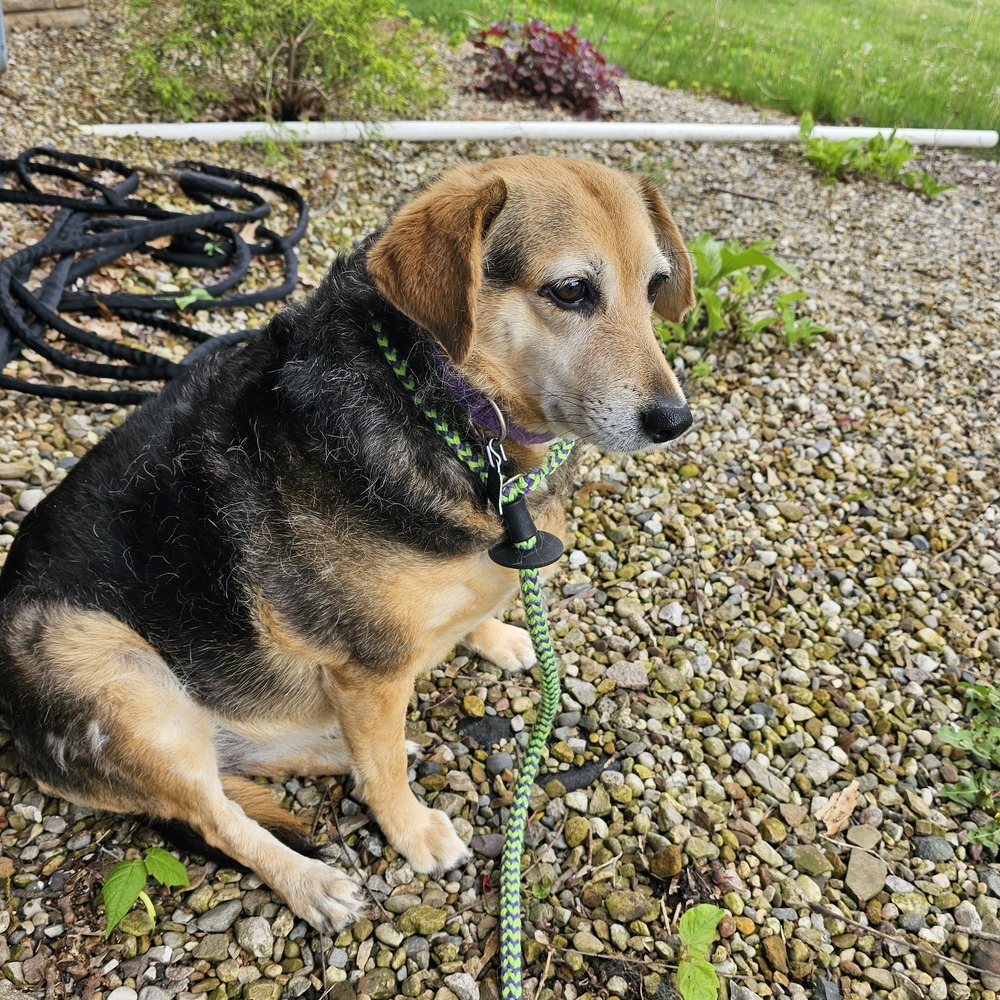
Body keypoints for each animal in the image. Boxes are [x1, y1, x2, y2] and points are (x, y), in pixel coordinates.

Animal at [0, 154, 692, 928]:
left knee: (254, 758)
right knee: (219, 813)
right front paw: (412, 831)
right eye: (570, 291)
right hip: (116, 674)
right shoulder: (370, 668)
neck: (450, 411)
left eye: (655, 287)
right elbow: (381, 771)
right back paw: (312, 881)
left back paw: (341, 748)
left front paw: (497, 636)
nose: (675, 420)